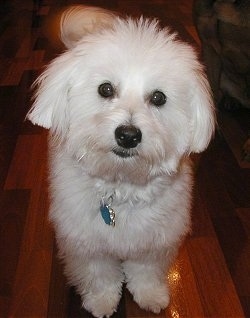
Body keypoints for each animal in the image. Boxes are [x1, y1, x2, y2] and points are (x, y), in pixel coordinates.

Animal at [26, 4, 215, 318]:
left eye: (158, 97)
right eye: (105, 89)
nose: (128, 135)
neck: (121, 186)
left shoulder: (155, 240)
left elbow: (145, 270)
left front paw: (150, 294)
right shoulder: (88, 244)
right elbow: (99, 274)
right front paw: (102, 301)